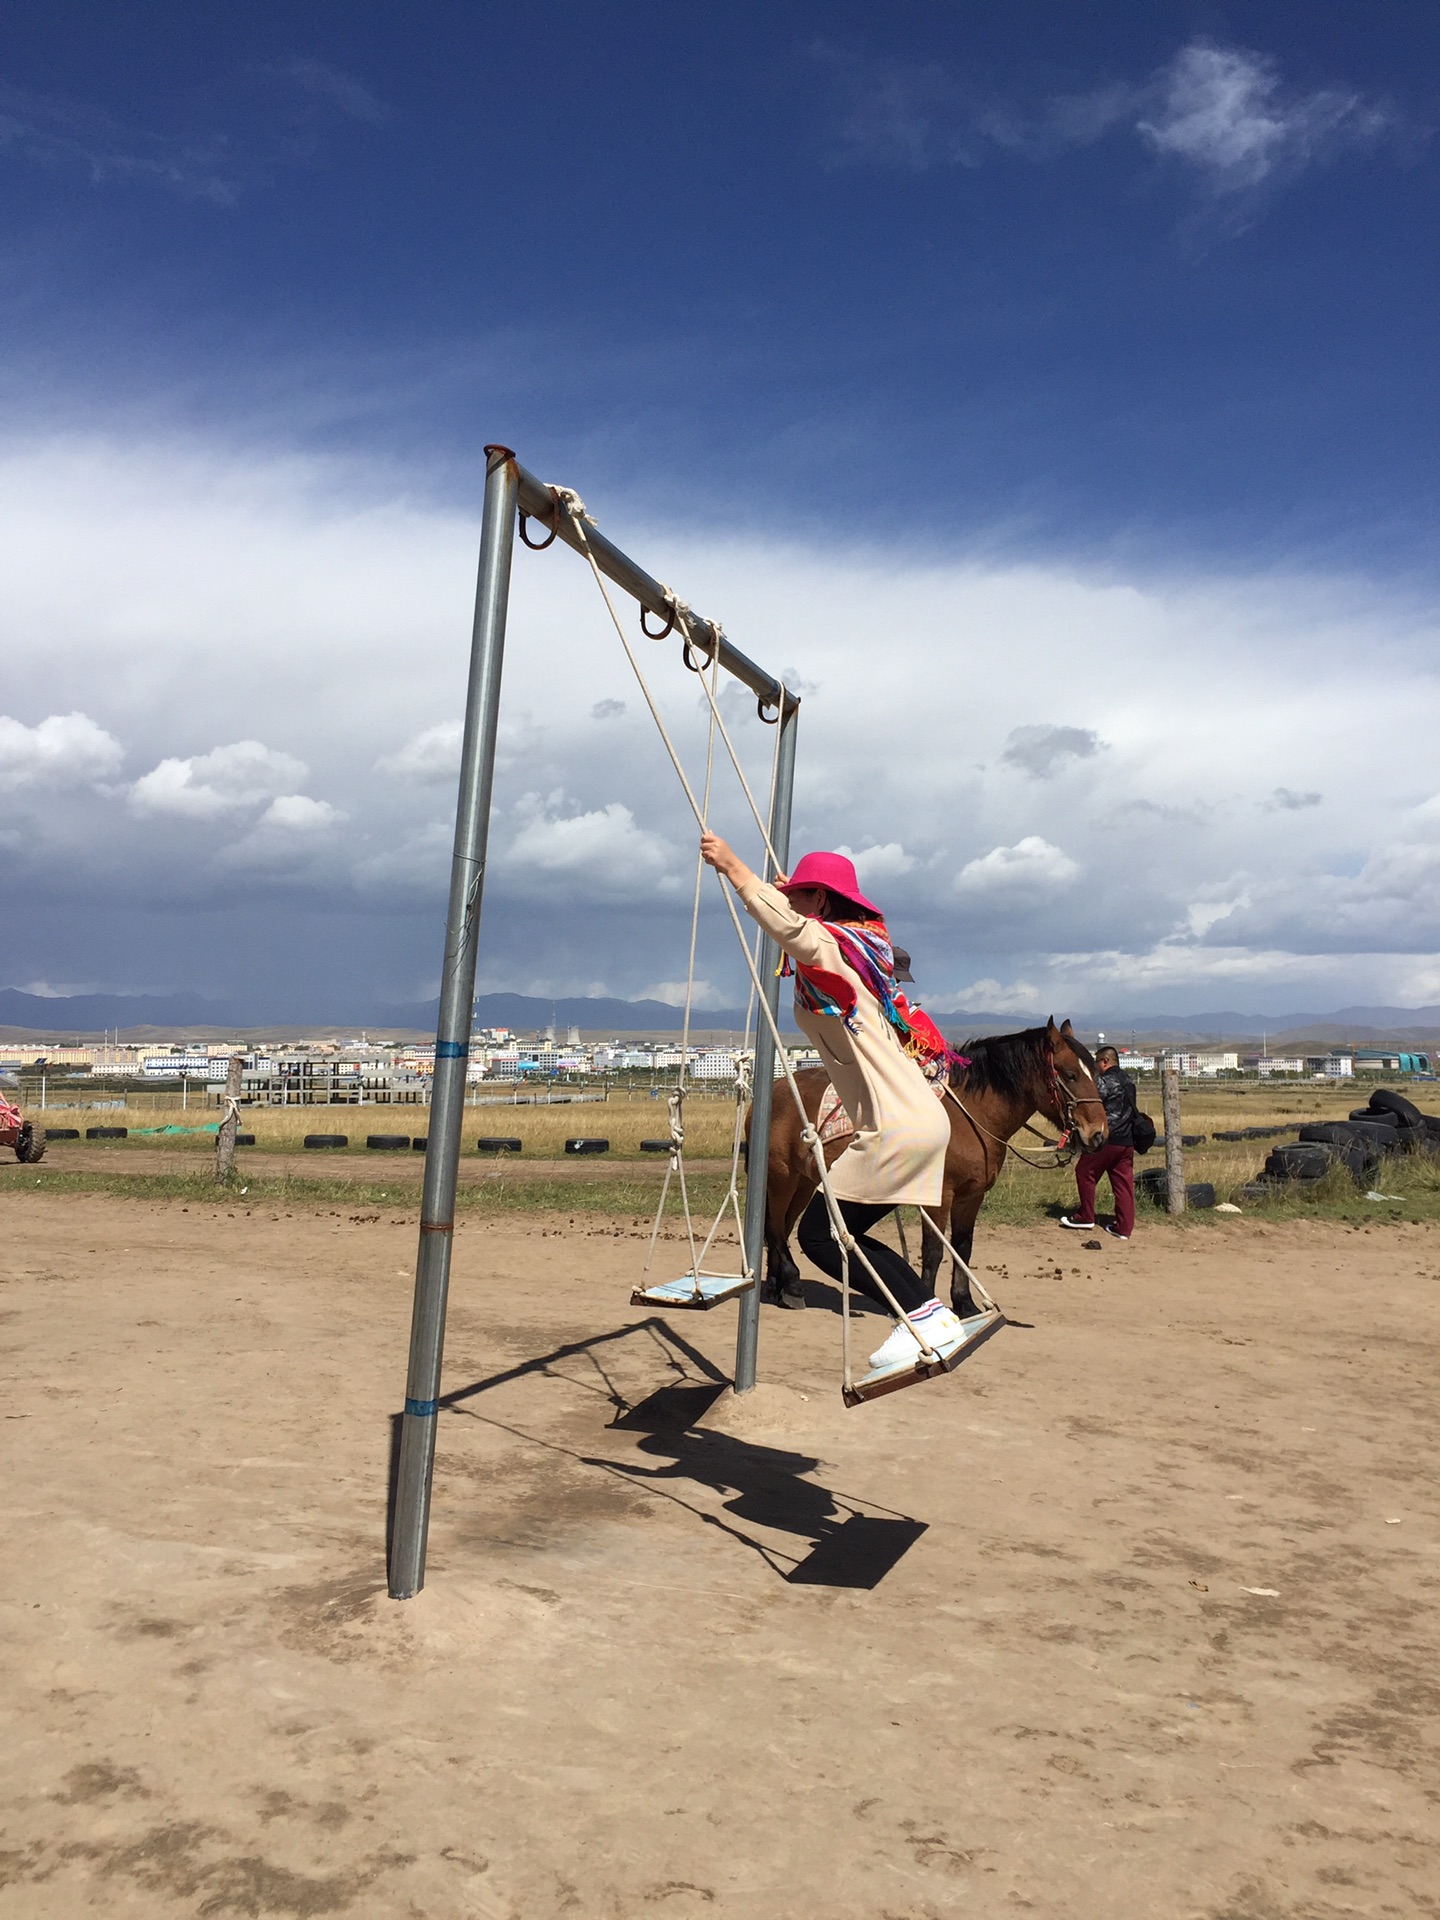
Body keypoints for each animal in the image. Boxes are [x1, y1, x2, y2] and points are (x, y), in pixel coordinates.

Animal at [756, 1021, 1105, 1320]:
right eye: (1070, 1074)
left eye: (1095, 1074)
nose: (1099, 1134)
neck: (969, 1118)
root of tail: (777, 1088)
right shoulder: (941, 1195)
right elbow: (934, 1250)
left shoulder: (971, 1196)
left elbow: (963, 1247)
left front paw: (965, 1303)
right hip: (781, 1177)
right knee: (775, 1228)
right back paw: (792, 1286)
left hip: (804, 1183)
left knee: (781, 1227)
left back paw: (776, 1287)